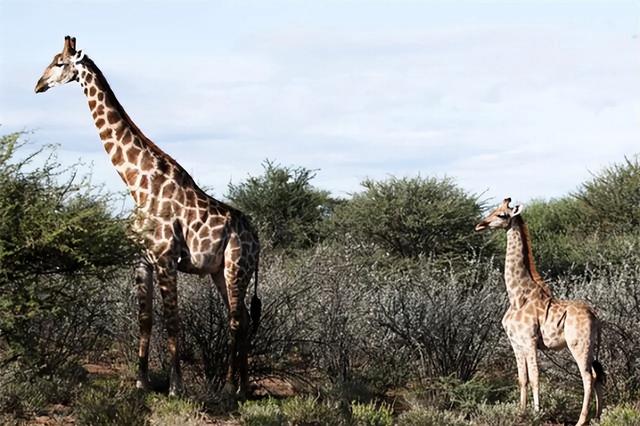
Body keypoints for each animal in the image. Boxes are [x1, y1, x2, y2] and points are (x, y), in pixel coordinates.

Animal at [33, 35, 260, 396]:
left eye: (59, 62)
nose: (38, 85)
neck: (136, 184)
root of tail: (257, 237)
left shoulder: (166, 259)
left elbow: (172, 321)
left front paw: (176, 386)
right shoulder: (141, 261)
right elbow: (146, 320)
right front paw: (141, 381)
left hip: (237, 267)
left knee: (237, 320)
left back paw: (229, 387)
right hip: (220, 271)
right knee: (243, 319)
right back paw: (243, 387)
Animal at [476, 199, 604, 426]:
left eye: (502, 215)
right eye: (493, 210)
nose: (480, 225)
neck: (517, 296)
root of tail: (595, 317)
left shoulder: (530, 341)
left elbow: (535, 377)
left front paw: (536, 413)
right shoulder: (516, 343)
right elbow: (522, 378)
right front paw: (520, 412)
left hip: (579, 344)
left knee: (588, 377)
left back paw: (581, 420)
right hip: (590, 347)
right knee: (597, 376)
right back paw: (597, 417)